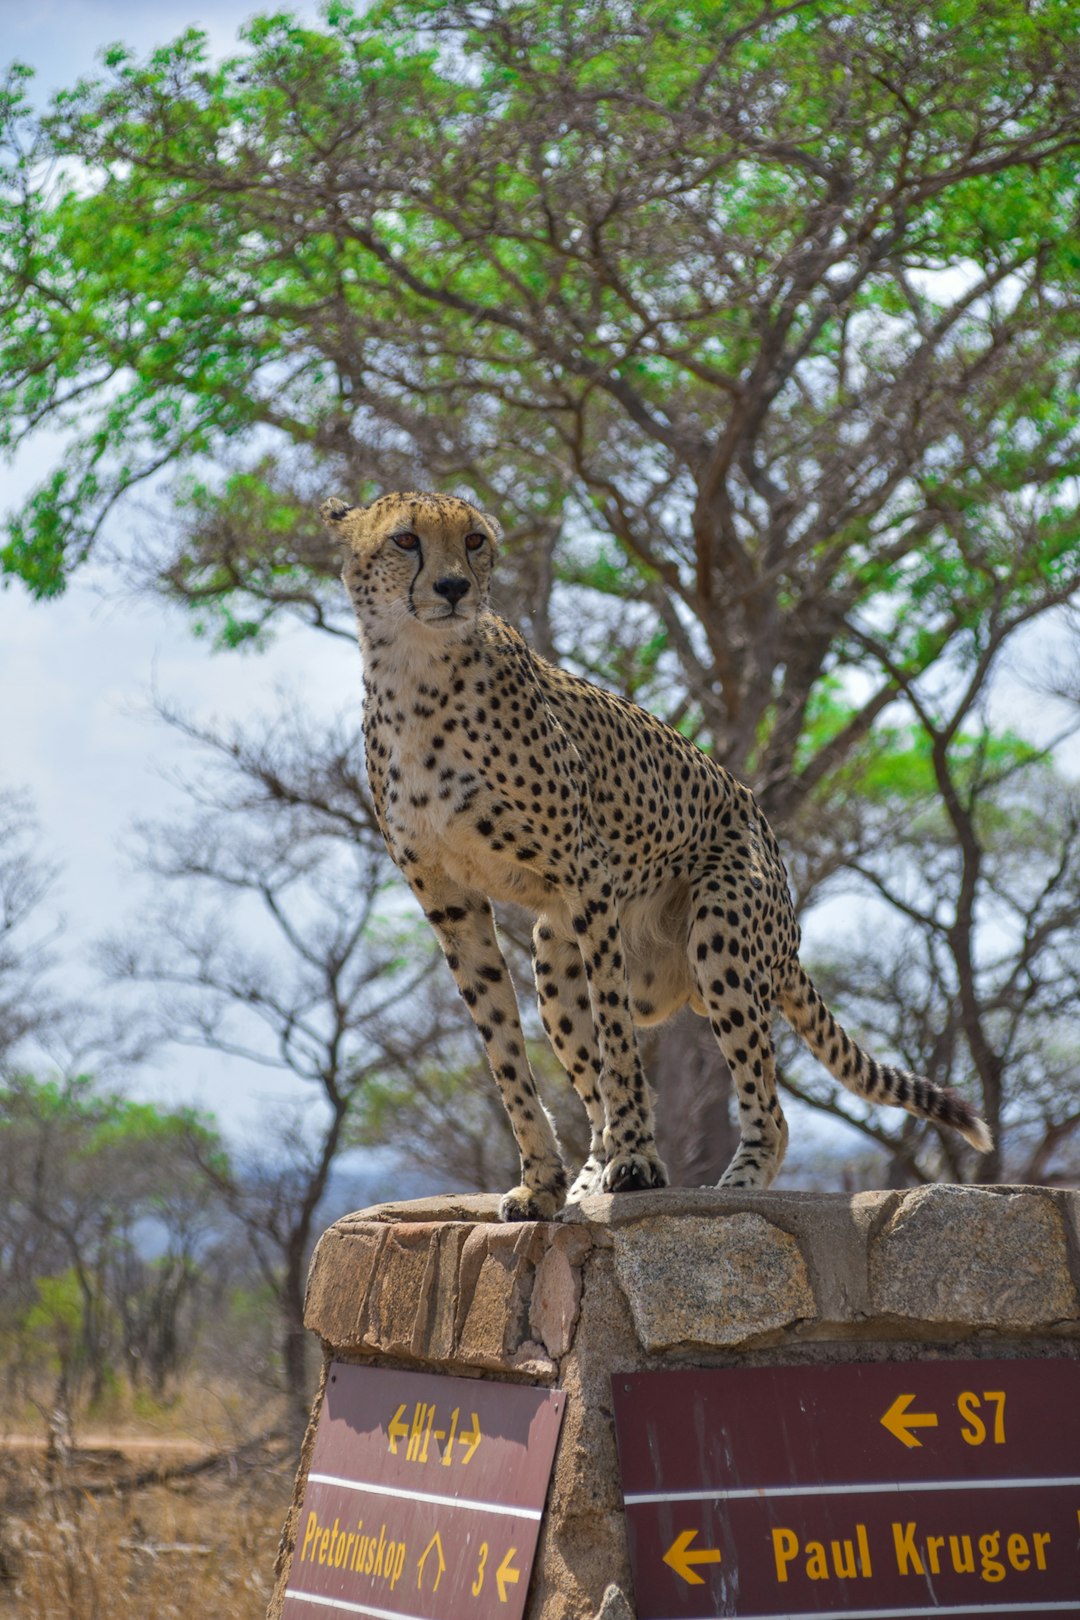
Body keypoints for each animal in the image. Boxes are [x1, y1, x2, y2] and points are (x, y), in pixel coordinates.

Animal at [323, 486, 997, 1218]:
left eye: (473, 540)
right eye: (406, 540)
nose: (452, 587)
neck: (417, 666)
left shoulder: (587, 874)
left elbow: (618, 1041)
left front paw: (639, 1163)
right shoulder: (450, 902)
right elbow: (504, 1053)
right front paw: (542, 1182)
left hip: (723, 932)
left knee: (766, 1106)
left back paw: (732, 1186)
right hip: (554, 956)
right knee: (597, 1074)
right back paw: (589, 1176)